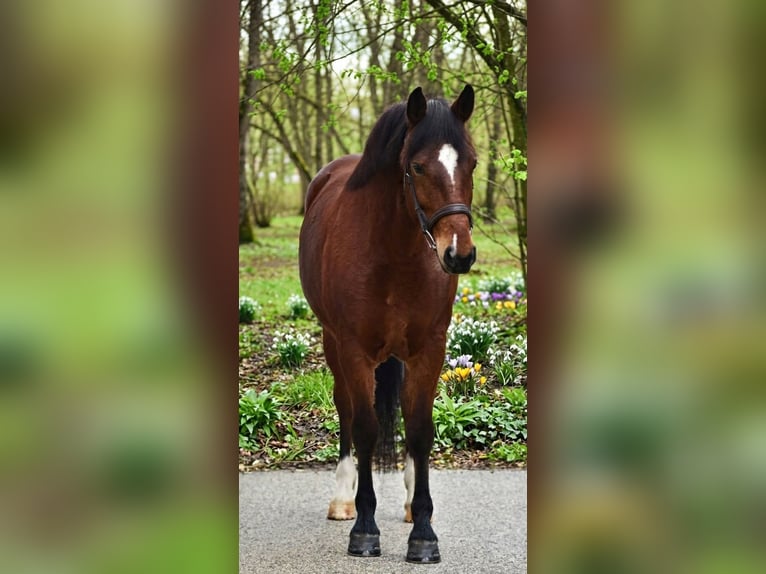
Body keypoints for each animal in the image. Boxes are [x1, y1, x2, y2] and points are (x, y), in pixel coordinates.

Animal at [298, 85, 477, 563]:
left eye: (472, 162)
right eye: (417, 166)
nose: (460, 254)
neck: (393, 252)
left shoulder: (430, 349)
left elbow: (419, 429)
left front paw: (424, 532)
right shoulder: (354, 349)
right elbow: (364, 427)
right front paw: (364, 527)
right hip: (332, 344)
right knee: (345, 410)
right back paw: (343, 499)